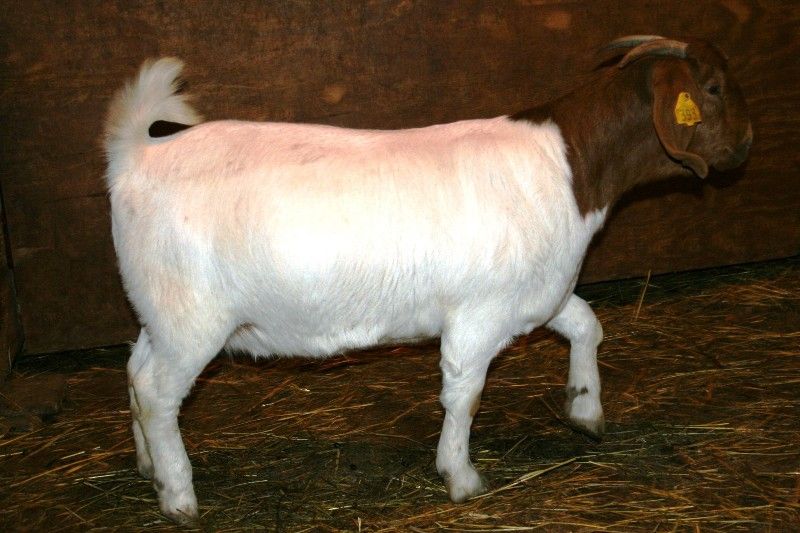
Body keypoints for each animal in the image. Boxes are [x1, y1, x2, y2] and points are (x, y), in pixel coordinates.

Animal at [104, 36, 752, 523]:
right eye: (713, 89)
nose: (746, 146)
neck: (572, 169)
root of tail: (136, 155)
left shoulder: (536, 295)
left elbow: (587, 324)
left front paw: (585, 408)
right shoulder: (478, 312)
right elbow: (464, 394)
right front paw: (461, 477)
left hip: (159, 311)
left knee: (135, 374)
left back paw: (147, 466)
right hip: (192, 317)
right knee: (159, 394)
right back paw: (178, 495)